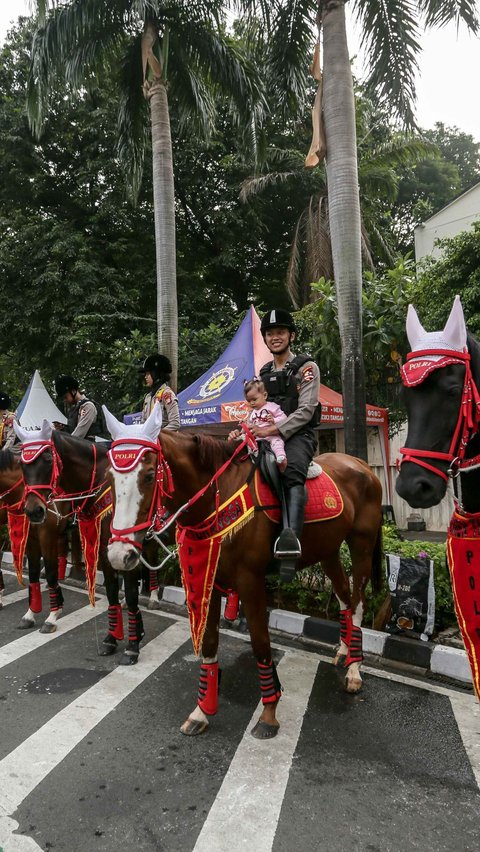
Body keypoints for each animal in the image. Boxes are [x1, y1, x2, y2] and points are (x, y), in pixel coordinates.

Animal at [105, 406, 382, 740]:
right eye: (109, 477)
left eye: (148, 476)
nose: (119, 555)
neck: (217, 495)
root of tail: (362, 465)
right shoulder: (208, 576)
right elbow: (209, 644)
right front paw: (202, 711)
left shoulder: (251, 581)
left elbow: (261, 643)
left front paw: (269, 714)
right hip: (328, 551)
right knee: (344, 598)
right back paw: (343, 651)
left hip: (361, 544)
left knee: (359, 602)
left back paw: (354, 668)